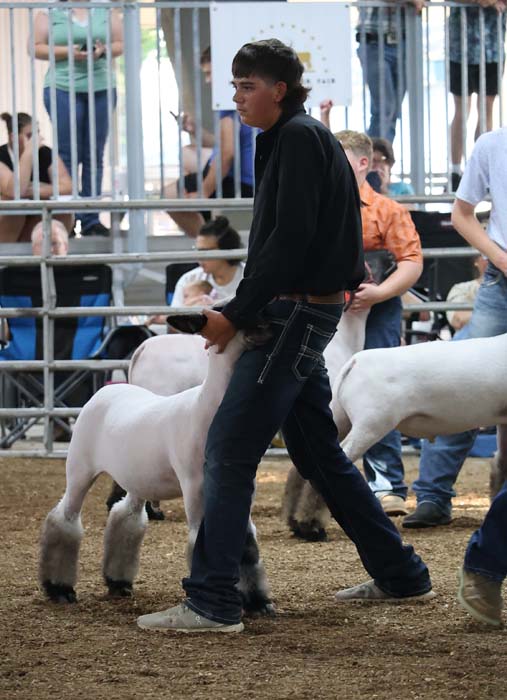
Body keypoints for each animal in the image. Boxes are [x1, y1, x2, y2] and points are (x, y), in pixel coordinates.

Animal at [39, 322, 274, 616]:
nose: (271, 331)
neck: (206, 409)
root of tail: (105, 391)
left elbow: (246, 544)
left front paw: (258, 602)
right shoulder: (194, 485)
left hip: (137, 479)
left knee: (125, 517)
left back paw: (118, 583)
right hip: (79, 469)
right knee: (64, 518)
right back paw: (60, 589)